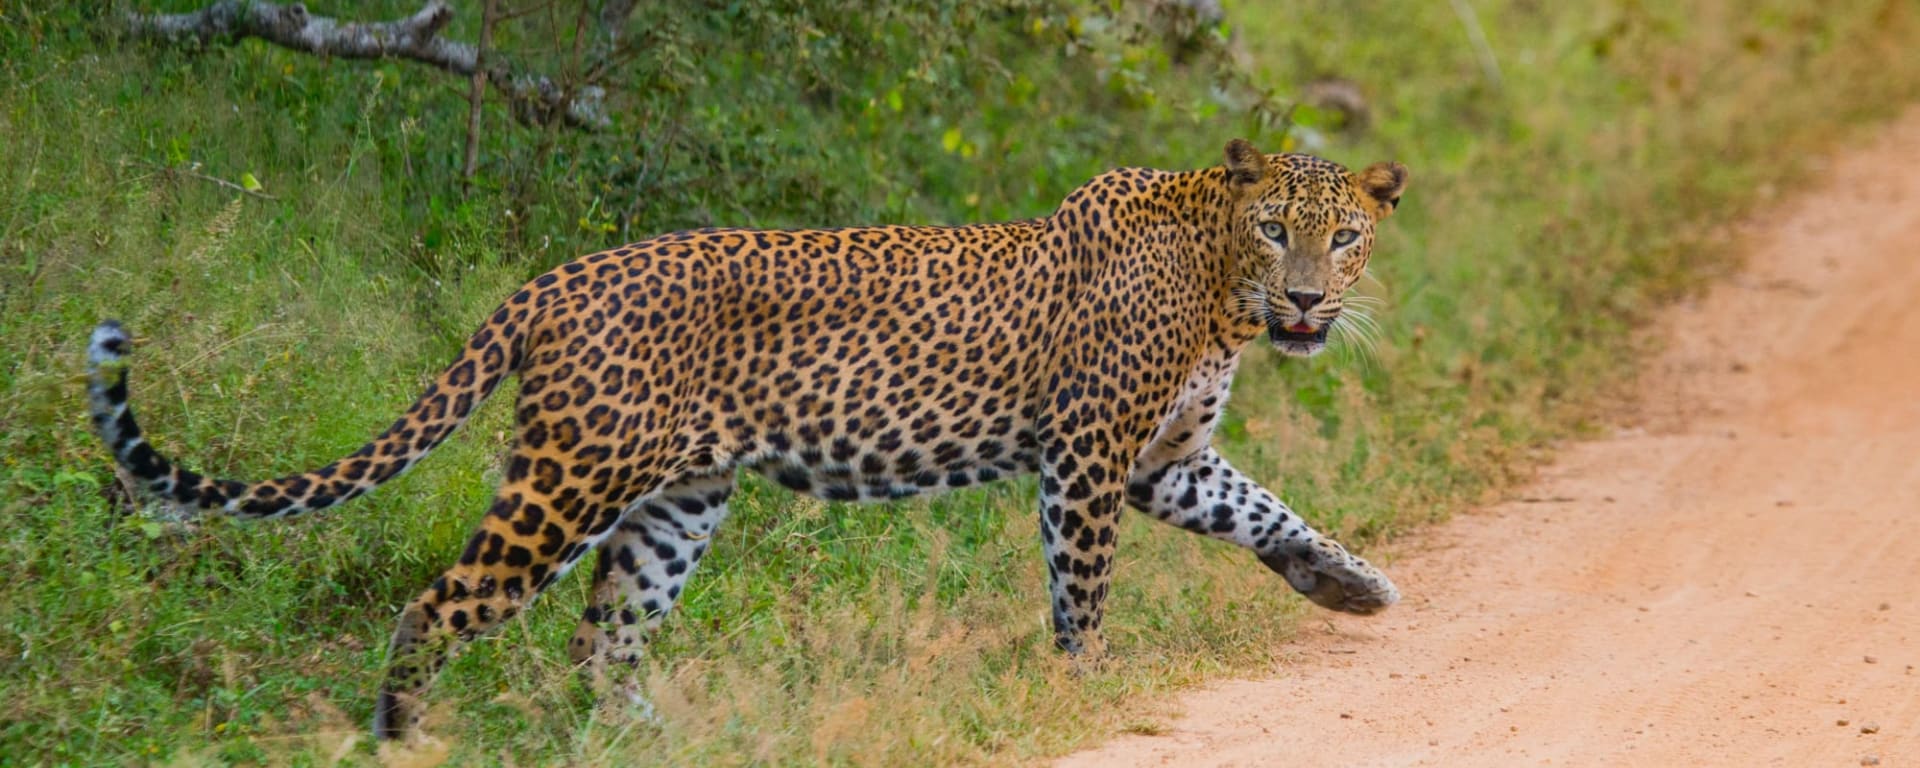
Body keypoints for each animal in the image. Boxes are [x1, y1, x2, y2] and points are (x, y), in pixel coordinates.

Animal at [86, 139, 1407, 741]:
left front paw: (1350, 585)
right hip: (570, 482)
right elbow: (1081, 589)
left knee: (604, 643)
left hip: (678, 504)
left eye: (1344, 238)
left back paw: (657, 741)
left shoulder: (1162, 461)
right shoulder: (1089, 459)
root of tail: (553, 278)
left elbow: (1265, 509)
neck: (1219, 288)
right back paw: (401, 743)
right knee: (443, 605)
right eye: (1278, 229)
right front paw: (1086, 688)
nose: (1305, 302)